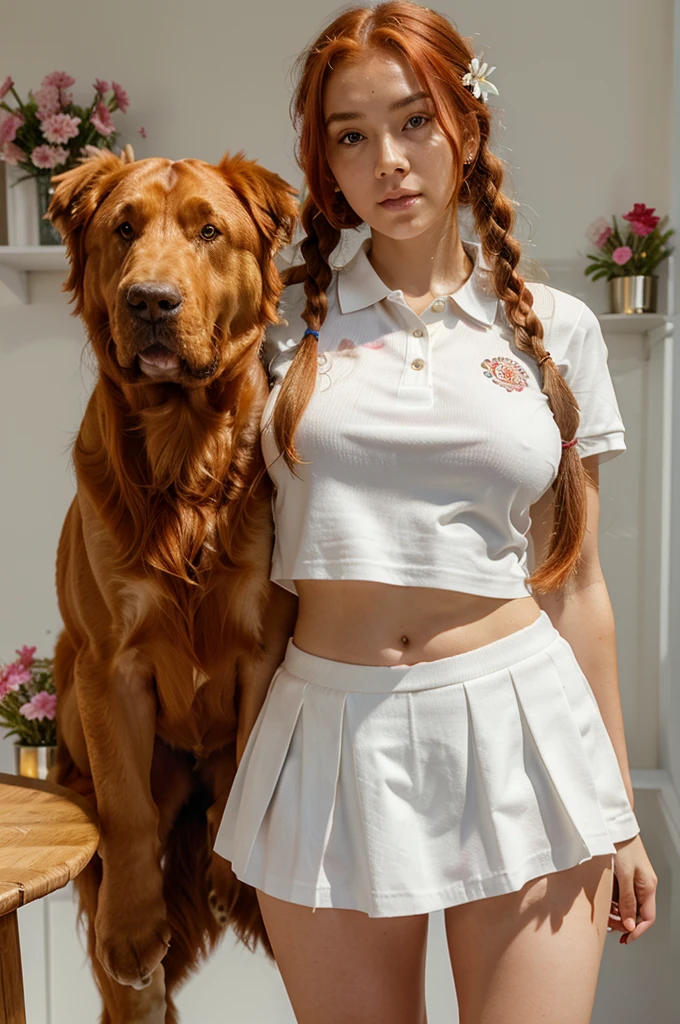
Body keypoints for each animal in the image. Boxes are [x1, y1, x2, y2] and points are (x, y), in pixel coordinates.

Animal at [47, 146, 301, 1024]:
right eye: (122, 229)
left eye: (208, 231)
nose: (151, 301)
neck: (183, 449)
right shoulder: (107, 662)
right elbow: (125, 810)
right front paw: (132, 930)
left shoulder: (265, 648)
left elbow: (254, 765)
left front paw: (242, 881)